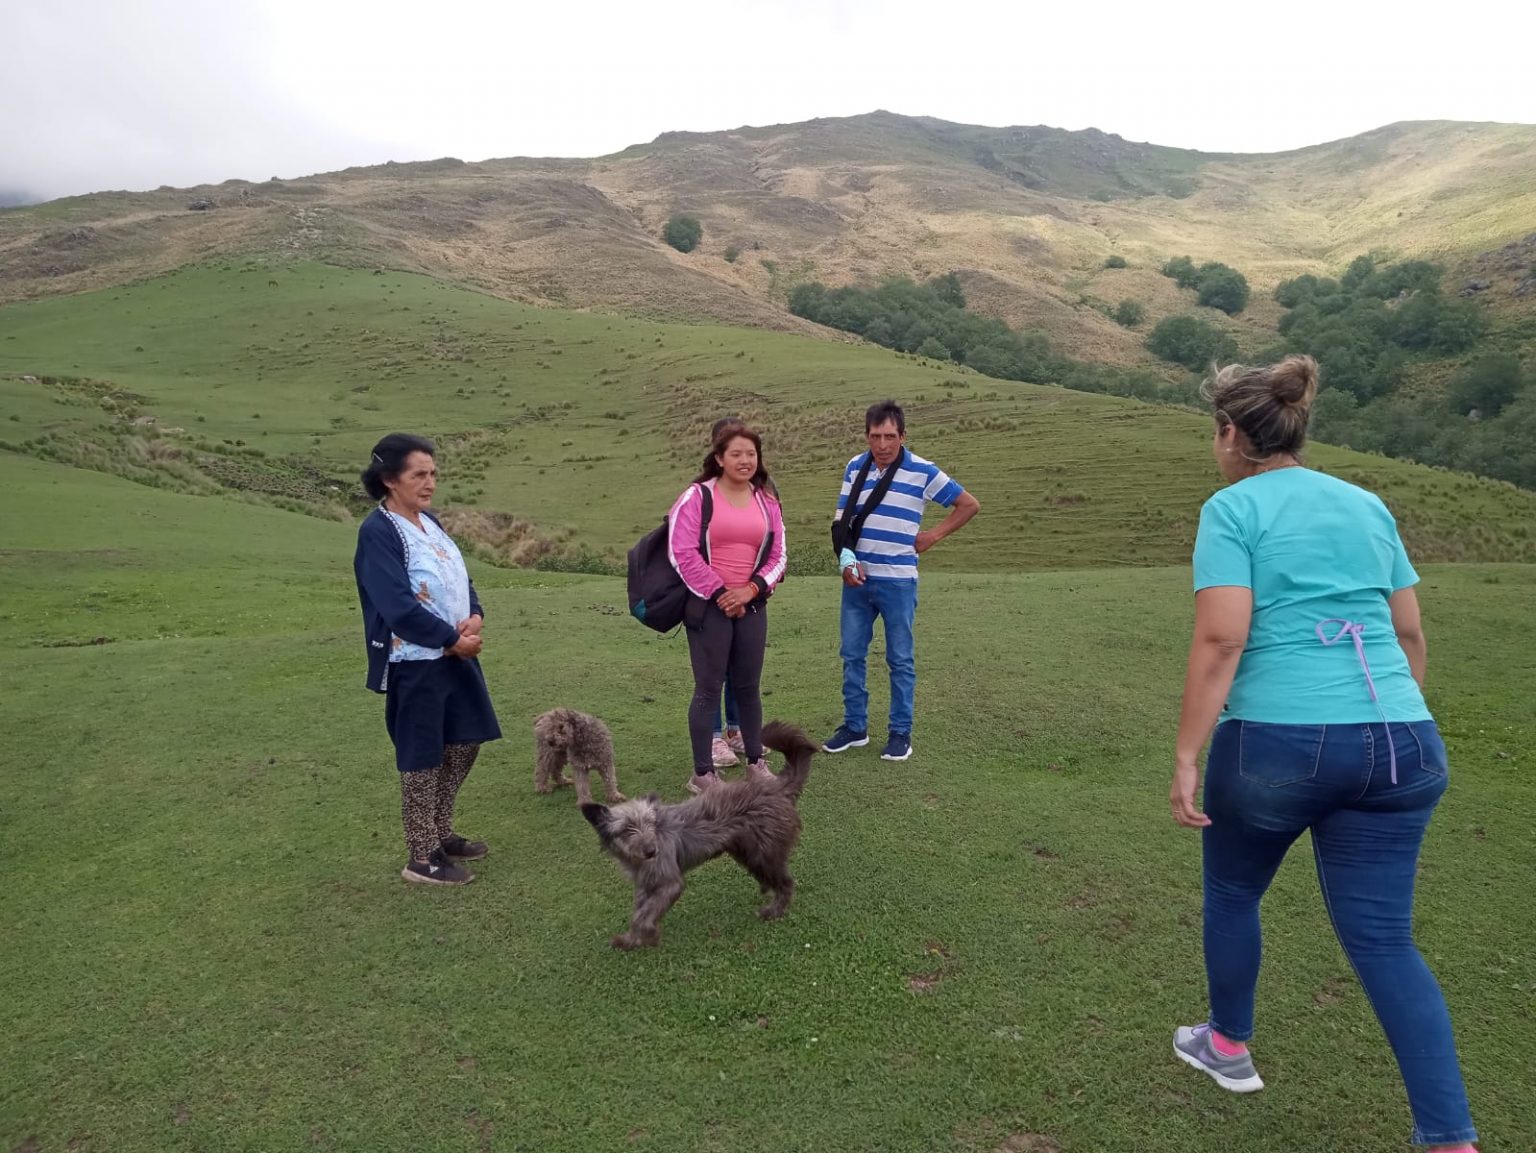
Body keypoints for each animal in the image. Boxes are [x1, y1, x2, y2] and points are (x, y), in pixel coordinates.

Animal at [581, 721, 818, 949]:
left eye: (650, 824)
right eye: (627, 829)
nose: (651, 851)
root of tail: (777, 788)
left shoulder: (670, 883)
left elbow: (644, 916)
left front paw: (647, 935)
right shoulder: (645, 887)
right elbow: (639, 913)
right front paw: (631, 939)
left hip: (763, 853)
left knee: (786, 883)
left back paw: (775, 910)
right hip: (747, 851)